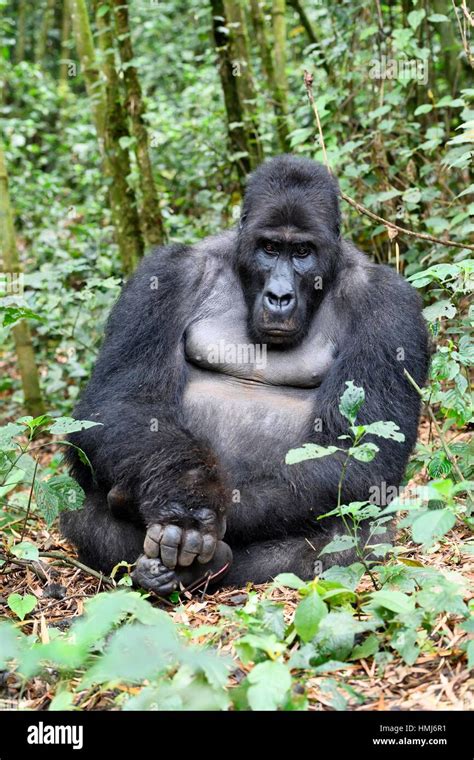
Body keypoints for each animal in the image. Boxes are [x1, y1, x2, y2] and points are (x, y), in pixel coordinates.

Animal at [60, 154, 430, 592]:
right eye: (269, 248)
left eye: (302, 252)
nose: (279, 296)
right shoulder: (164, 274)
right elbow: (119, 404)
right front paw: (184, 495)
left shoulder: (390, 304)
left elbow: (362, 454)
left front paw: (201, 511)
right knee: (84, 514)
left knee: (358, 538)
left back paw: (205, 566)